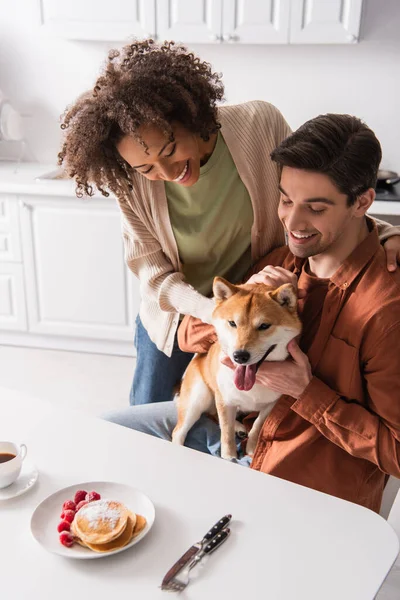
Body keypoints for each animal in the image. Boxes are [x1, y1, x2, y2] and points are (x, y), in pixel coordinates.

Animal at [172, 276, 300, 460]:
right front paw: (229, 456)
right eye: (232, 323)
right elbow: (226, 432)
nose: (240, 355)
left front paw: (252, 446)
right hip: (197, 400)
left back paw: (239, 428)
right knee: (179, 432)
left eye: (264, 326)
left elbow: (258, 424)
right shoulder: (224, 401)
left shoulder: (271, 404)